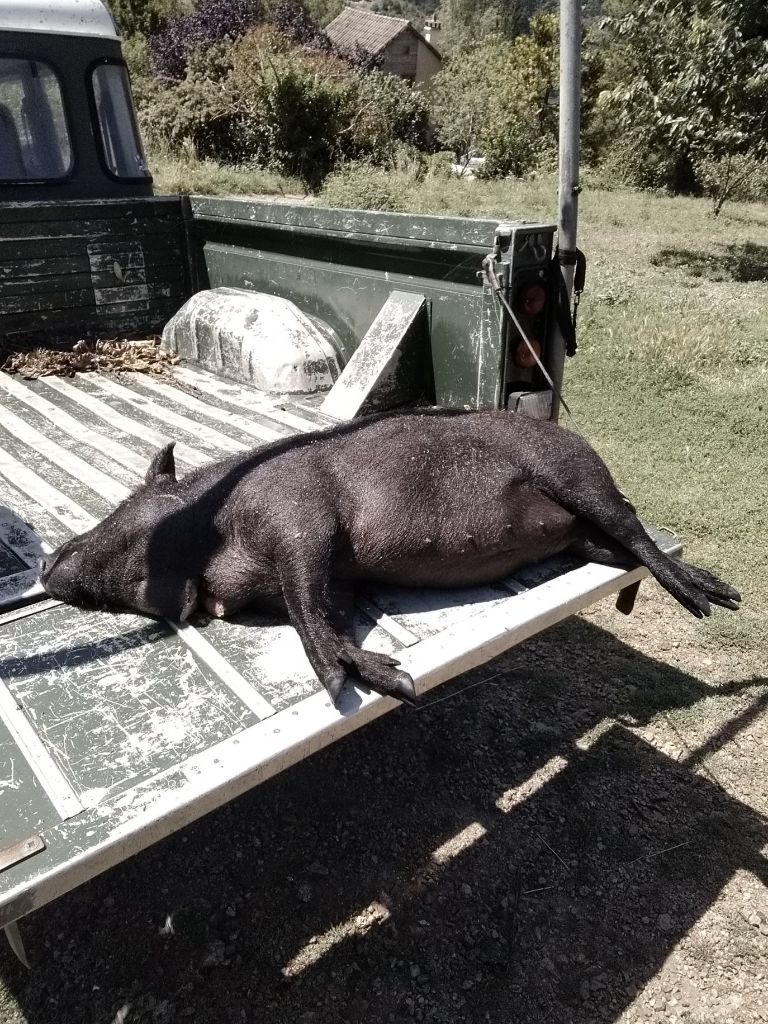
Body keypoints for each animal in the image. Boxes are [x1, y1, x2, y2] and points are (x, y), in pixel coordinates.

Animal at [40, 407, 741, 704]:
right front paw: (390, 678)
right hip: (577, 532)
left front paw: (383, 686)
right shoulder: (331, 577)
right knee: (617, 545)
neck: (218, 537)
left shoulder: (302, 523)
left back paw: (715, 598)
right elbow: (321, 613)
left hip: (579, 477)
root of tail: (573, 433)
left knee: (637, 528)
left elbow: (308, 616)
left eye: (124, 513)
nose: (48, 566)